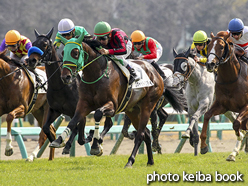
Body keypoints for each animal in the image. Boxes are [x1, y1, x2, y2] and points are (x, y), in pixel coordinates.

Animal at [27, 28, 113, 156]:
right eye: (33, 43)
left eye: (45, 44)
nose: (31, 60)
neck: (61, 86)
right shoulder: (55, 110)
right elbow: (46, 128)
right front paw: (58, 142)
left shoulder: (80, 111)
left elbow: (81, 137)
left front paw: (89, 136)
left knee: (108, 123)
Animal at [50, 33, 165, 167]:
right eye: (63, 52)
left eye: (75, 52)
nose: (65, 77)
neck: (97, 73)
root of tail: (155, 72)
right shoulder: (84, 104)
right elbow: (74, 120)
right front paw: (58, 140)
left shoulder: (112, 106)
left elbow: (98, 114)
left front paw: (96, 145)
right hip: (132, 110)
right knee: (146, 133)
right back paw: (150, 161)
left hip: (148, 106)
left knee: (141, 134)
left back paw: (130, 161)